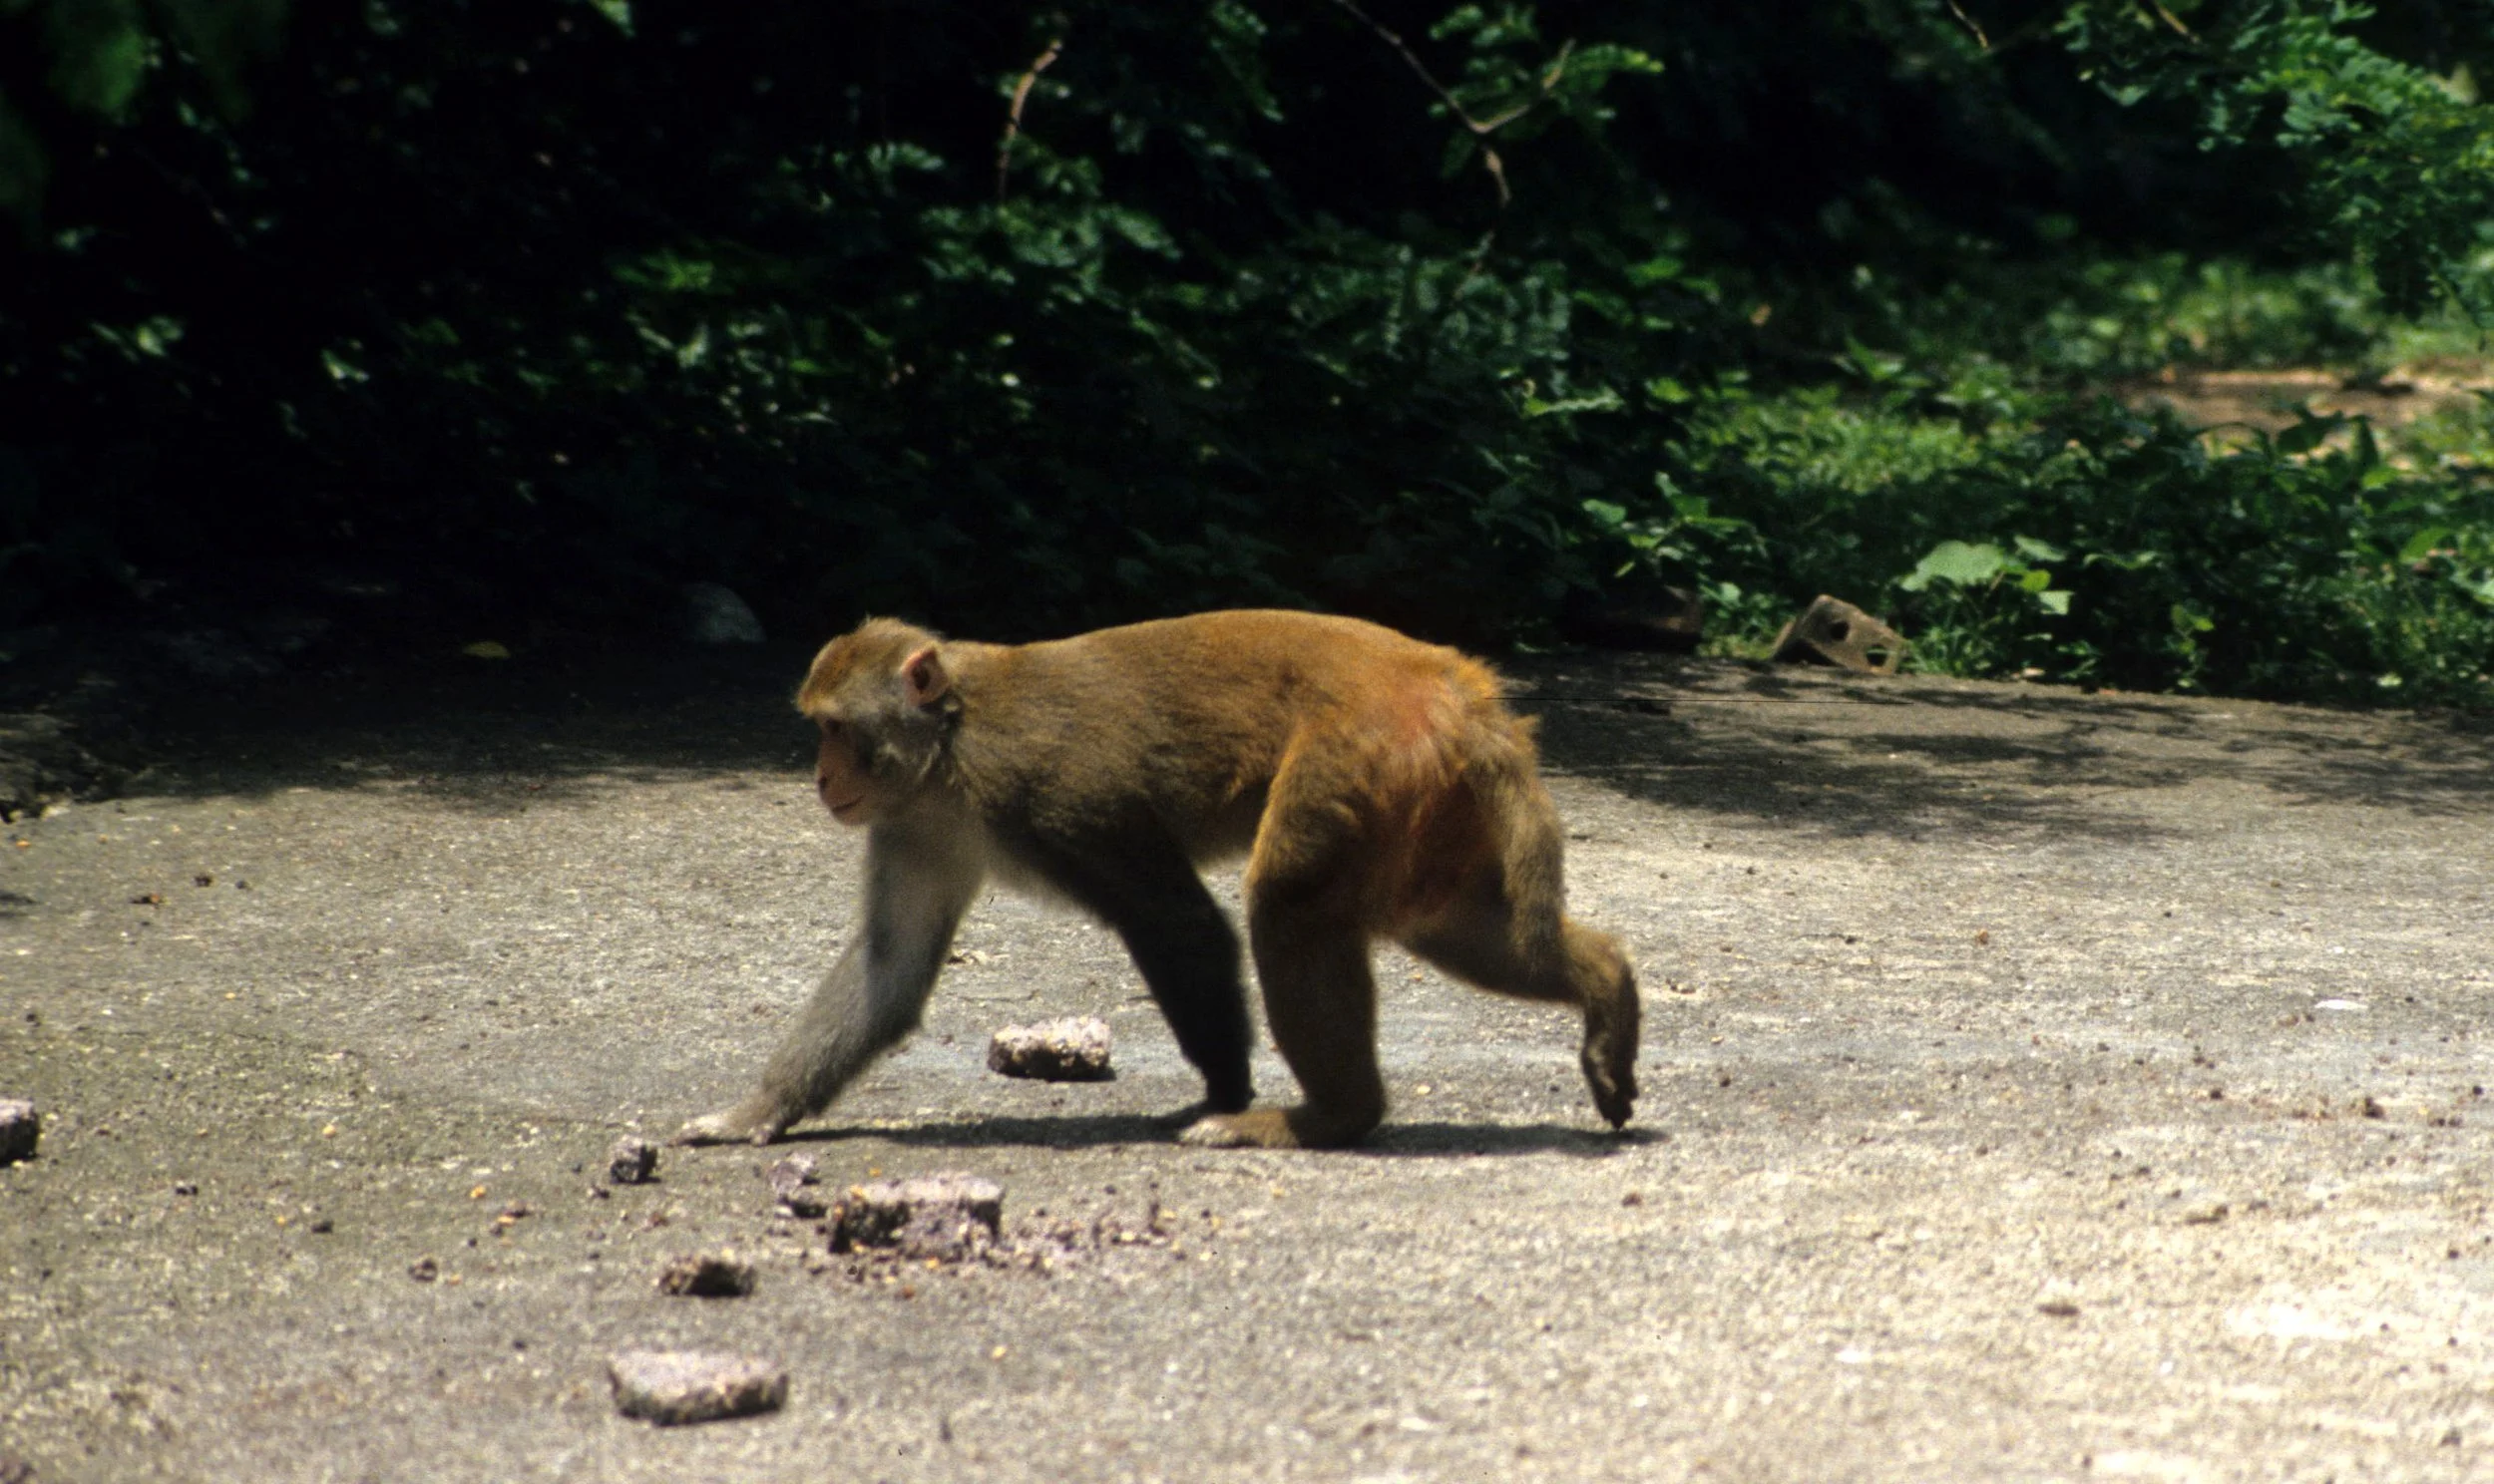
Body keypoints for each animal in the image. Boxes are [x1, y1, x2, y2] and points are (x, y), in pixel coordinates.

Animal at [675, 610, 1638, 1151]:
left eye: (837, 729)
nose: (821, 778)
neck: (952, 744)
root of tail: (1457, 687)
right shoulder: (914, 822)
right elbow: (891, 967)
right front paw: (757, 1111)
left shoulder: (1056, 796)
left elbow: (1178, 922)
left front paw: (1225, 1089)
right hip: (1425, 793)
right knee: (1457, 927)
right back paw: (1608, 989)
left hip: (1368, 756)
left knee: (1288, 908)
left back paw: (1328, 1118)